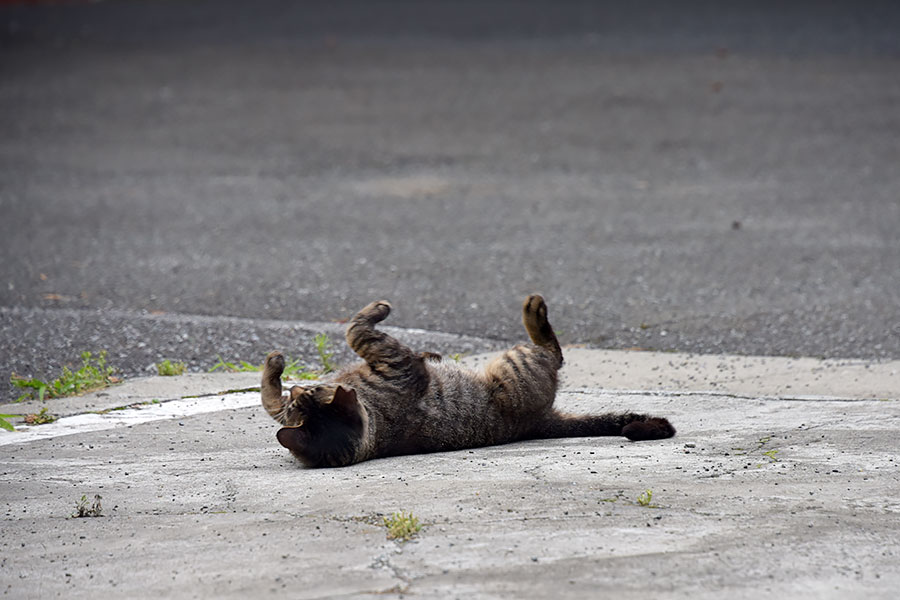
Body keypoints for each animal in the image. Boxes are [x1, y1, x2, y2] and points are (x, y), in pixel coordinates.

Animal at [260, 296, 676, 468]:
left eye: (308, 393)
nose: (299, 388)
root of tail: (538, 424)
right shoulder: (397, 363)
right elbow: (355, 329)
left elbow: (270, 397)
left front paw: (273, 364)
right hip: (513, 365)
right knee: (552, 351)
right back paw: (534, 310)